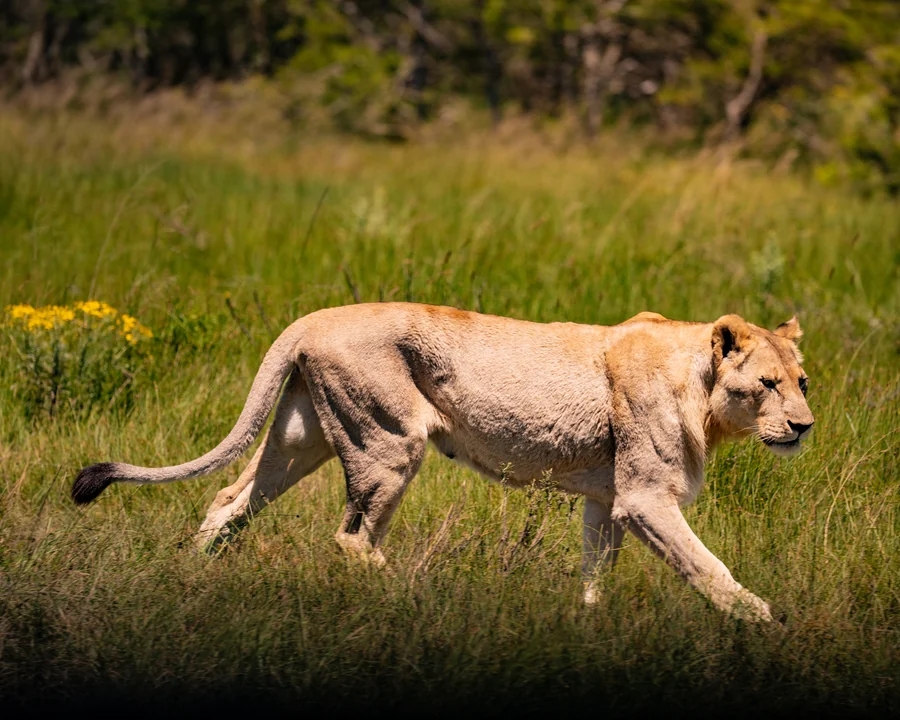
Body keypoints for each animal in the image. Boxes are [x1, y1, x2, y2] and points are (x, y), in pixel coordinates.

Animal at [72, 304, 814, 622]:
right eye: (767, 384)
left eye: (803, 382)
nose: (805, 427)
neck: (703, 391)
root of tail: (309, 319)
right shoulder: (644, 497)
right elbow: (706, 565)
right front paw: (763, 619)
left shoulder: (607, 499)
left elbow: (595, 572)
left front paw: (589, 627)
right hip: (388, 442)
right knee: (352, 538)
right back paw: (413, 592)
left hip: (302, 437)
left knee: (228, 500)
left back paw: (192, 575)